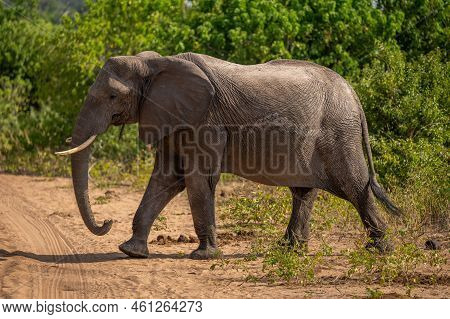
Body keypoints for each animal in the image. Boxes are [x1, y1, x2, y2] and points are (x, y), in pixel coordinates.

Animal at [57, 50, 400, 260]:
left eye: (113, 96)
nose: (106, 221)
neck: (156, 63)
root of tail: (354, 94)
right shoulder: (171, 116)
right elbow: (166, 179)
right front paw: (131, 251)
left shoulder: (205, 121)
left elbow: (197, 180)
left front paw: (203, 256)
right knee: (304, 190)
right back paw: (289, 249)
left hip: (338, 131)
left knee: (354, 186)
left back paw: (380, 249)